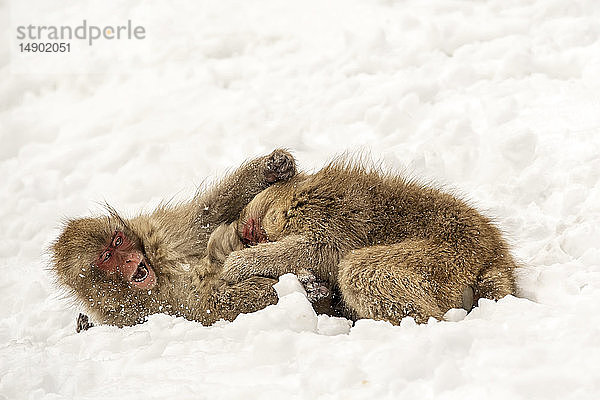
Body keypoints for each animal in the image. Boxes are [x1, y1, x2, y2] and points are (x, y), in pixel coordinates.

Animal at [51, 150, 326, 328]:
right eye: (107, 257)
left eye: (117, 241)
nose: (129, 260)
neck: (158, 273)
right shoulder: (136, 314)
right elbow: (210, 305)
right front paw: (299, 288)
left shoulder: (162, 235)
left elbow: (208, 216)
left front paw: (271, 167)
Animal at [223, 158, 516, 324]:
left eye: (253, 236)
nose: (246, 241)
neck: (293, 199)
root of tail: (494, 255)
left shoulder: (326, 212)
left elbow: (323, 251)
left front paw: (241, 263)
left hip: (447, 258)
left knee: (360, 270)